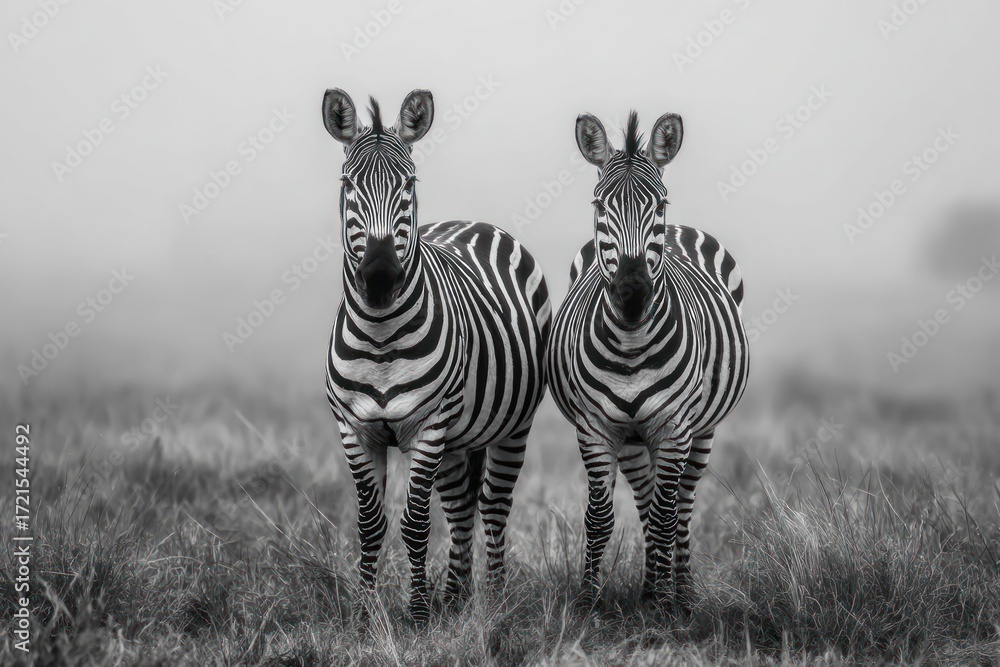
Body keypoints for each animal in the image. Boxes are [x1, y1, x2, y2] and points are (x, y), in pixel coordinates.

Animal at [321, 88, 551, 625]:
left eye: (409, 183)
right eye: (347, 185)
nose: (380, 277)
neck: (380, 338)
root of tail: (471, 221)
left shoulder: (427, 426)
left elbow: (415, 523)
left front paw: (419, 613)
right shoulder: (353, 427)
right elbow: (371, 524)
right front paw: (366, 615)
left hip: (510, 425)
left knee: (493, 504)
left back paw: (494, 597)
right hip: (457, 437)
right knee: (461, 505)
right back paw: (457, 595)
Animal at [545, 109, 749, 611]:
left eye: (660, 204)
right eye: (599, 206)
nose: (632, 291)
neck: (631, 344)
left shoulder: (674, 426)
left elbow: (666, 513)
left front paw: (662, 608)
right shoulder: (595, 427)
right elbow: (600, 516)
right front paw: (589, 601)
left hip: (700, 430)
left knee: (680, 506)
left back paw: (681, 593)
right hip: (634, 438)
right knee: (646, 498)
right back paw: (650, 585)